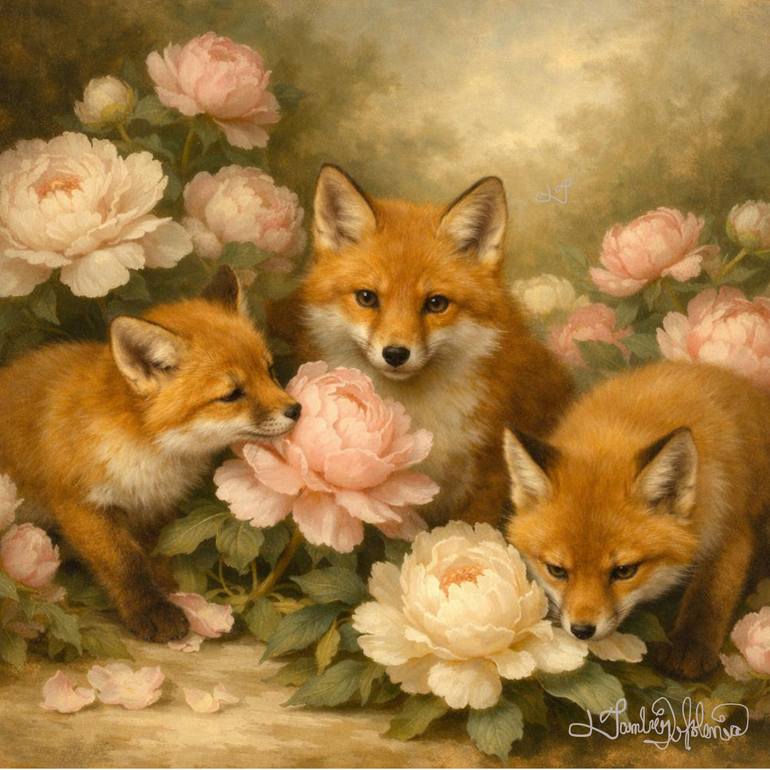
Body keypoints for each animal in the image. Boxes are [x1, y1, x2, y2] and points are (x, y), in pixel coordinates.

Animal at [0, 266, 301, 642]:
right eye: (232, 394)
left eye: (270, 371)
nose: (296, 409)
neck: (148, 449)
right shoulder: (81, 504)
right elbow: (125, 563)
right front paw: (151, 611)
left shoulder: (155, 510)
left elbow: (158, 560)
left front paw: (177, 596)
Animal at [502, 360, 770, 679]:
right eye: (557, 570)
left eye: (624, 571)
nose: (582, 630)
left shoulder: (731, 523)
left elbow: (711, 594)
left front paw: (690, 644)